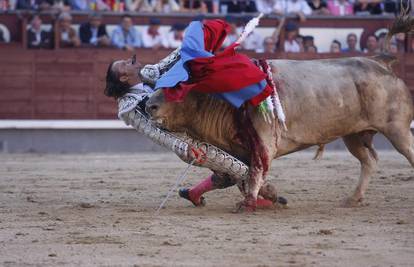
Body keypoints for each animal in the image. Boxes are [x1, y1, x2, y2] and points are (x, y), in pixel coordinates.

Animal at [144, 19, 412, 213]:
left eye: (178, 86)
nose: (149, 105)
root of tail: (380, 60)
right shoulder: (237, 149)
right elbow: (231, 175)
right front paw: (268, 198)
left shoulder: (263, 142)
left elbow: (255, 172)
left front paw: (249, 204)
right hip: (354, 135)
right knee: (369, 161)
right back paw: (353, 198)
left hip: (397, 129)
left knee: (406, 153)